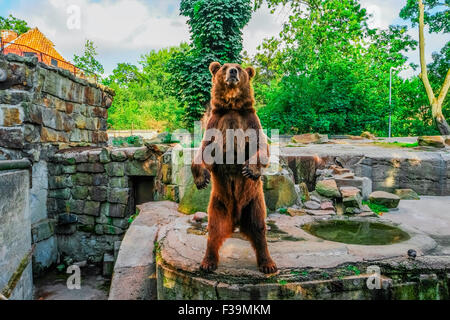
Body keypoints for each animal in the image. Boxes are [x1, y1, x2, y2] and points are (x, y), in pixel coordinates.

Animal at [191, 61, 278, 274]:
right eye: (224, 67)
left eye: (238, 67)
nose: (232, 71)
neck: (232, 106)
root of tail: (236, 220)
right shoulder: (216, 123)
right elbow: (203, 151)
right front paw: (201, 179)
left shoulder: (250, 122)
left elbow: (262, 147)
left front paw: (250, 170)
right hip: (218, 204)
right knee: (214, 231)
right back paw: (208, 262)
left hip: (254, 202)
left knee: (259, 229)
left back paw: (268, 264)